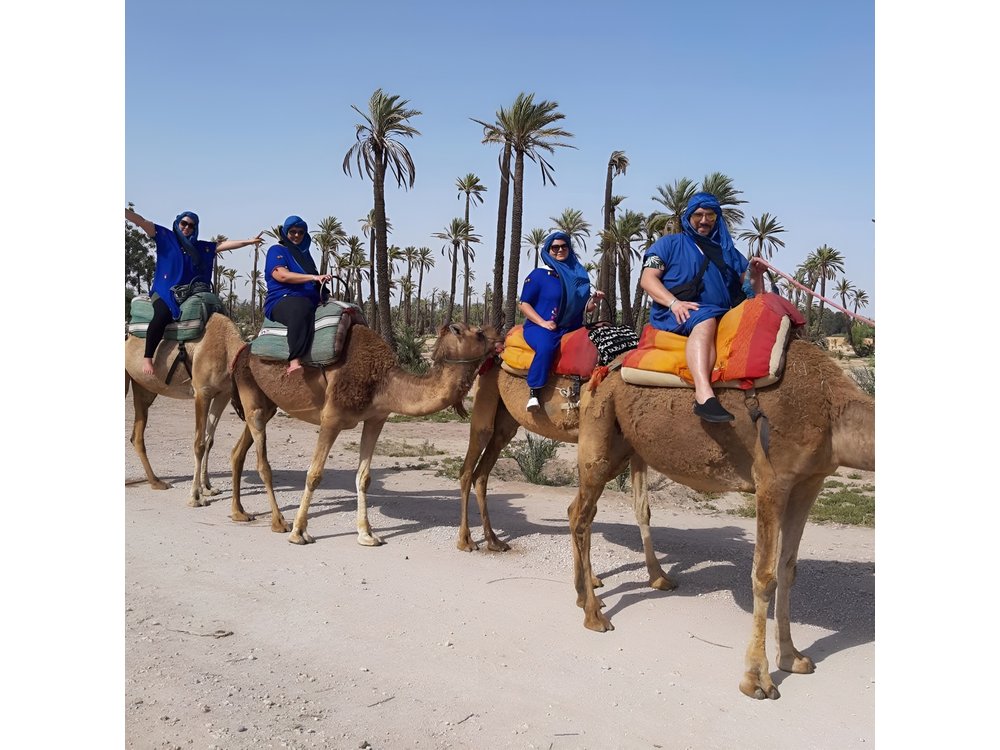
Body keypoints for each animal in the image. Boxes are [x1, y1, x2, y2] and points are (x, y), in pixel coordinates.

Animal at [125, 313, 246, 507]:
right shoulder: (202, 392)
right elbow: (199, 444)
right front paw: (196, 496)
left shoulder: (223, 393)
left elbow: (209, 441)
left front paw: (208, 488)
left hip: (144, 387)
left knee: (136, 435)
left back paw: (156, 482)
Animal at [228, 321, 497, 546]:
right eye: (480, 333)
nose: (498, 339)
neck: (384, 381)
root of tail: (243, 351)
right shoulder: (331, 418)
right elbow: (314, 474)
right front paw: (299, 532)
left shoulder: (376, 418)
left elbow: (364, 477)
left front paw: (367, 534)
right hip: (251, 394)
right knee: (262, 462)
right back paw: (279, 522)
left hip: (267, 403)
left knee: (238, 450)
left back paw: (239, 512)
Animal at [457, 362, 673, 592]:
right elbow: (586, 512)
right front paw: (591, 579)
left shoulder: (633, 448)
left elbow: (642, 508)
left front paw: (659, 577)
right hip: (486, 399)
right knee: (468, 467)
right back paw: (465, 541)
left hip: (506, 422)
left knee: (481, 473)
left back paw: (493, 541)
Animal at [569, 339, 875, 700]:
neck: (831, 410)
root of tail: (597, 376)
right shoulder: (771, 480)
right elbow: (765, 576)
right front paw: (757, 679)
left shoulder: (809, 482)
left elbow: (788, 570)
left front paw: (792, 658)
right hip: (599, 435)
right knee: (582, 516)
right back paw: (594, 616)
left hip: (625, 446)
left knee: (576, 511)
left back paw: (585, 597)